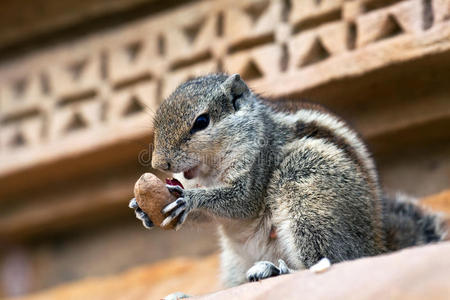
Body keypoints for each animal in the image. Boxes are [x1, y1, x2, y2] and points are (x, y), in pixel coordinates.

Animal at [129, 74, 446, 288]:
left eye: (202, 122)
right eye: (156, 123)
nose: (159, 164)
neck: (211, 171)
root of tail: (376, 246)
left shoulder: (258, 164)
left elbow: (241, 202)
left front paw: (190, 200)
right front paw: (141, 208)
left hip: (306, 195)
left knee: (335, 260)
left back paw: (278, 271)